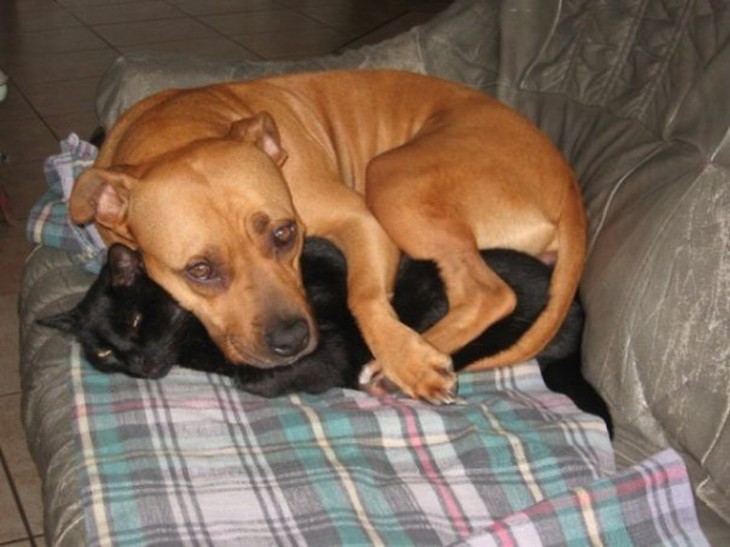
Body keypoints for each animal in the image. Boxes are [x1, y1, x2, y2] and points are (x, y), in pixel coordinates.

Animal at [68, 69, 584, 402]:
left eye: (285, 234)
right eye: (200, 270)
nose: (292, 339)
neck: (177, 133)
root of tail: (567, 182)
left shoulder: (361, 219)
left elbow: (365, 295)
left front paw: (406, 357)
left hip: (392, 179)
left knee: (488, 293)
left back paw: (397, 367)